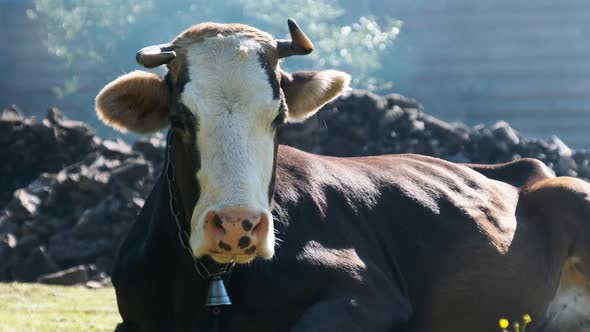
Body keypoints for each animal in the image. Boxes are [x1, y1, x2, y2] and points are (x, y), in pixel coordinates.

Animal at [95, 20, 590, 332]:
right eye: (180, 119)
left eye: (279, 117)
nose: (237, 225)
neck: (212, 282)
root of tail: (528, 169)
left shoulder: (370, 296)